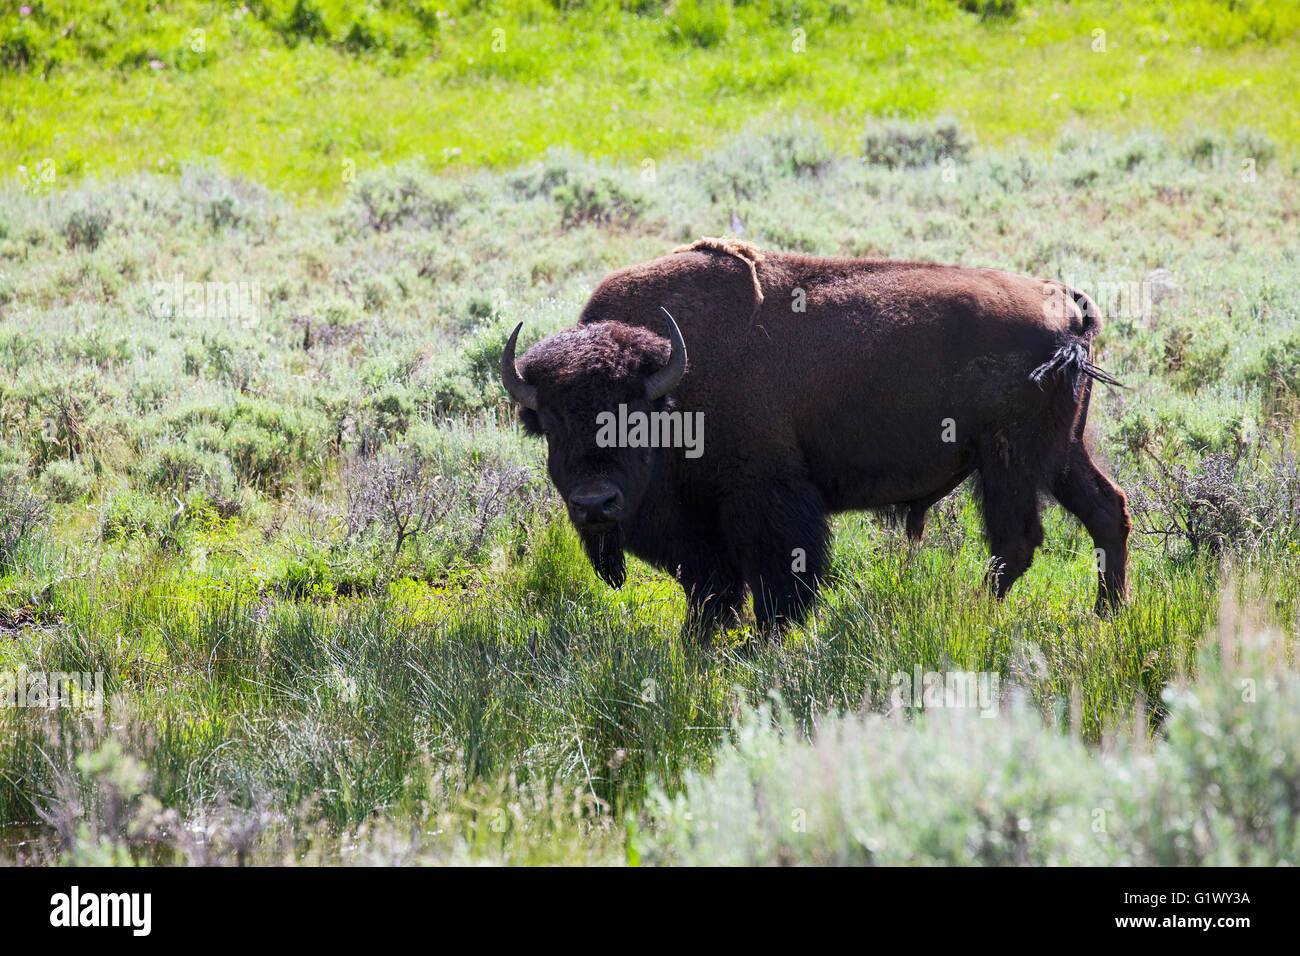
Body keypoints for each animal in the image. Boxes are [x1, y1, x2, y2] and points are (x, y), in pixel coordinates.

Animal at [501, 238, 1130, 636]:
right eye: (550, 425)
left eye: (634, 416)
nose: (595, 505)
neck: (675, 385)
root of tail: (1067, 305)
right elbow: (711, 588)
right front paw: (698, 643)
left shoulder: (762, 501)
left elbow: (776, 583)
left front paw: (761, 643)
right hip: (1062, 453)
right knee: (1107, 510)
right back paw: (1107, 616)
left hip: (1009, 461)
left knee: (1016, 541)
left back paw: (972, 612)